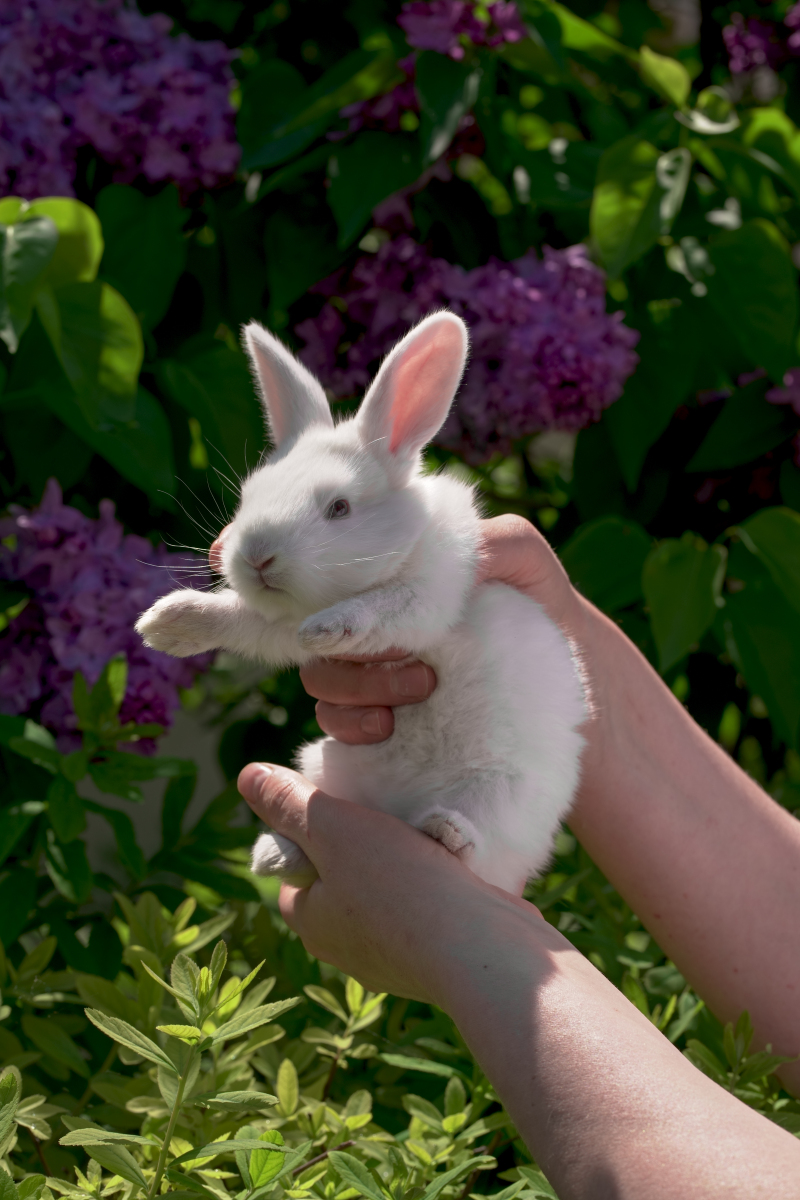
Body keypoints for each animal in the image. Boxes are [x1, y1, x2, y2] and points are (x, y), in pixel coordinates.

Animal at [136, 314, 587, 897]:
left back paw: (445, 832)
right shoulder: (277, 622)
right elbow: (243, 619)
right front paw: (166, 623)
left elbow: (385, 605)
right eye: (249, 496)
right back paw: (274, 854)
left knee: (480, 853)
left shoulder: (433, 595)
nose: (257, 557)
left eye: (339, 508)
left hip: (503, 795)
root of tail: (397, 808)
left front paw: (328, 627)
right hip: (325, 766)